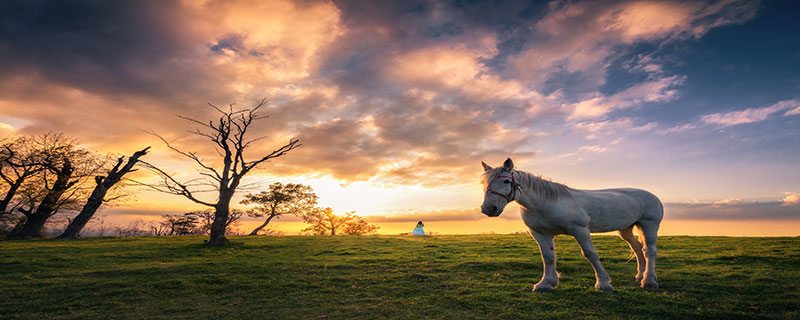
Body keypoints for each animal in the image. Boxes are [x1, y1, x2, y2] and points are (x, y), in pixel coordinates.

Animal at [482, 158, 664, 292]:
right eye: (484, 183)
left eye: (506, 181)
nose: (489, 208)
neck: (545, 203)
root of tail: (651, 195)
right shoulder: (540, 234)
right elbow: (548, 257)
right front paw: (546, 284)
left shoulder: (580, 230)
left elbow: (590, 255)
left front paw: (603, 284)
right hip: (625, 230)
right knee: (637, 248)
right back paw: (640, 276)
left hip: (649, 225)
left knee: (649, 250)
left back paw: (649, 281)